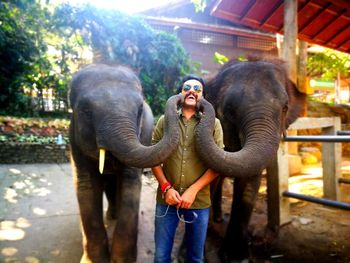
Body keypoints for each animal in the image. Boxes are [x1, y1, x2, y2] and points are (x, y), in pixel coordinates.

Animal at [69, 64, 182, 263]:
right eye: (86, 111)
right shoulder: (74, 140)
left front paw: (122, 260)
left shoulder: (142, 135)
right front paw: (94, 260)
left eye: (140, 110)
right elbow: (86, 185)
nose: (182, 98)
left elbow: (130, 183)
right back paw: (111, 215)